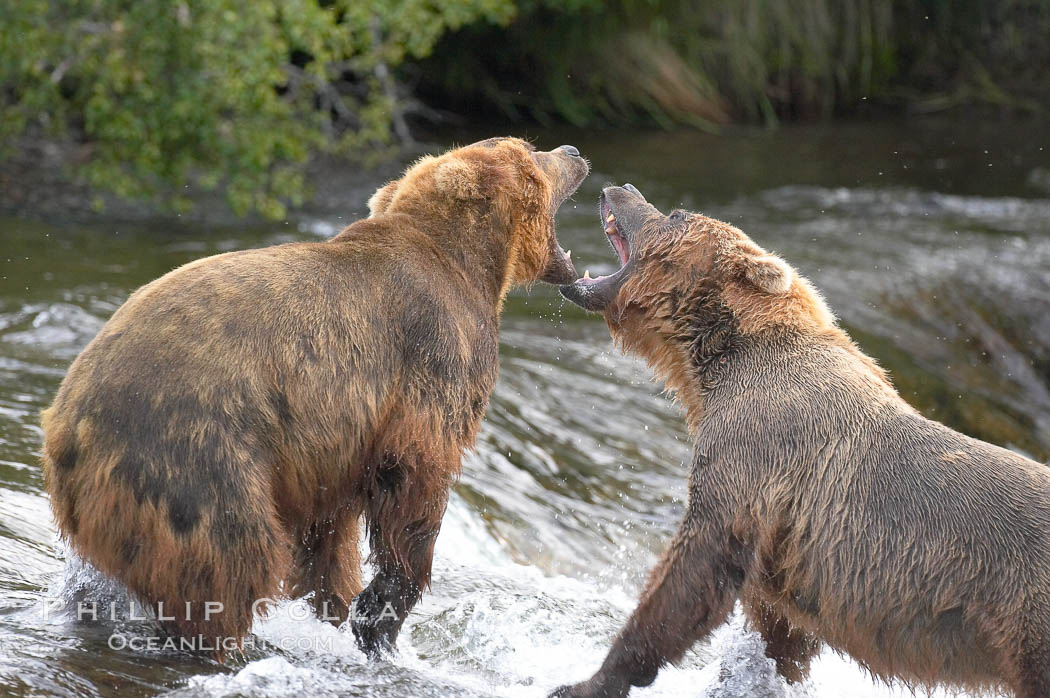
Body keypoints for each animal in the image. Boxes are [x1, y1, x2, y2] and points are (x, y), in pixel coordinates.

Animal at [40, 137, 588, 659]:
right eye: (531, 152)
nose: (574, 150)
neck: (471, 265)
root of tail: (67, 426)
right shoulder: (432, 354)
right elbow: (416, 474)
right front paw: (381, 615)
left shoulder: (330, 451)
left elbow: (329, 537)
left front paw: (340, 609)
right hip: (197, 462)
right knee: (233, 565)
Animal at [553, 183, 1050, 698]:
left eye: (676, 213)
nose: (621, 188)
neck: (715, 360)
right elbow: (781, 633)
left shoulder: (756, 450)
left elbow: (701, 563)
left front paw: (589, 680)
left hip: (1027, 619)